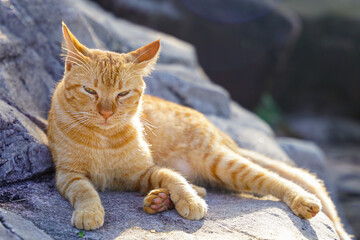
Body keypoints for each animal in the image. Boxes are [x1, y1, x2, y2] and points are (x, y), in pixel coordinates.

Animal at [46, 23, 350, 240]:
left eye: (122, 94)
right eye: (90, 91)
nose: (106, 113)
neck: (103, 139)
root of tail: (219, 132)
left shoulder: (144, 171)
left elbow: (173, 177)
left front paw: (188, 201)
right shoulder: (67, 174)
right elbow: (84, 191)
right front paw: (89, 212)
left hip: (222, 164)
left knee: (273, 179)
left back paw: (303, 201)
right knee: (204, 184)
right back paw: (160, 200)